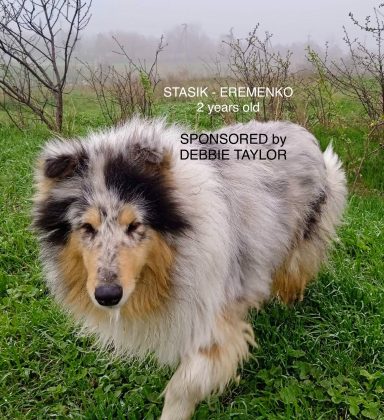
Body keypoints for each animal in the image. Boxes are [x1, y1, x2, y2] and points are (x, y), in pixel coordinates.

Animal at [32, 116, 344, 418]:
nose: (107, 296)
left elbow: (184, 385)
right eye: (87, 227)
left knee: (294, 272)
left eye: (134, 225)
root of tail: (306, 134)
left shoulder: (214, 317)